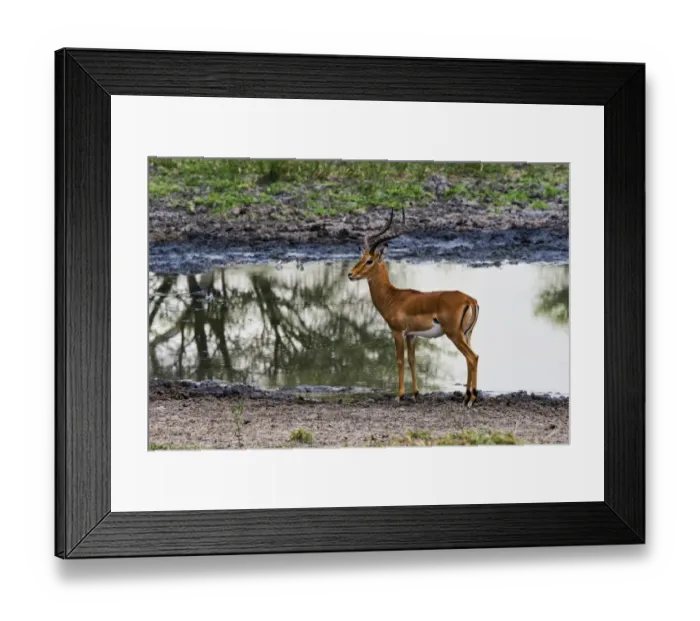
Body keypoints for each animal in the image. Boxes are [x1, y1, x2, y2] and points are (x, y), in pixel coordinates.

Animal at [348, 209, 480, 407]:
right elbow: (412, 360)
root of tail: (469, 299)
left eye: (369, 260)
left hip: (455, 334)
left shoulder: (398, 332)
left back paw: (471, 399)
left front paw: (400, 395)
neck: (393, 297)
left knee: (473, 357)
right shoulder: (412, 335)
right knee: (469, 360)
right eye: (361, 258)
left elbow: (399, 360)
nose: (351, 274)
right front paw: (415, 393)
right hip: (466, 334)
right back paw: (466, 396)